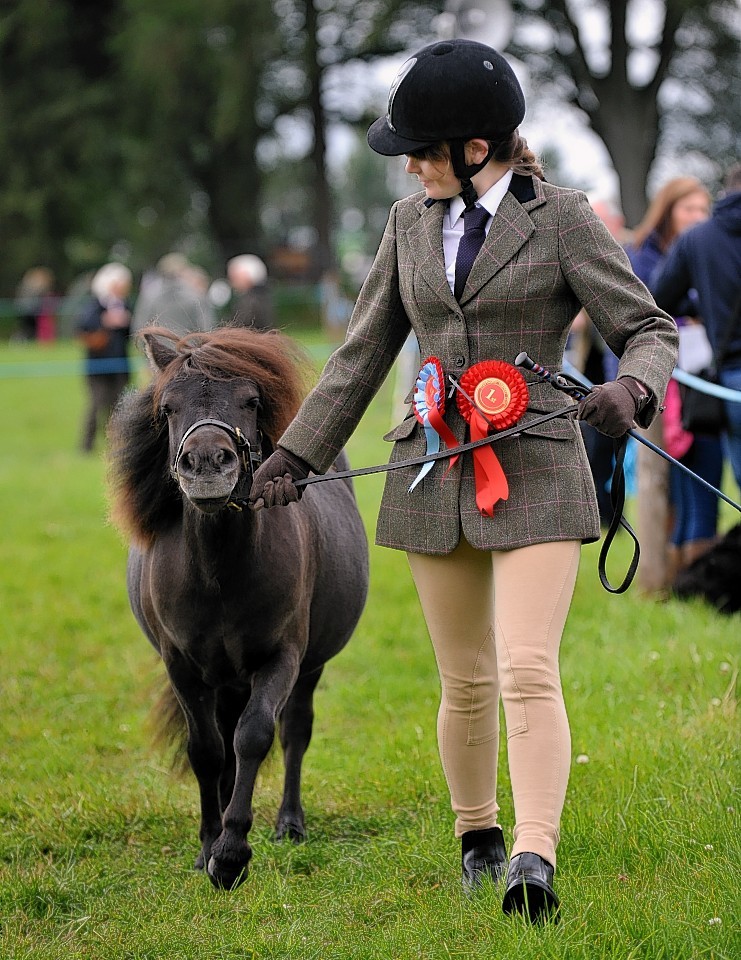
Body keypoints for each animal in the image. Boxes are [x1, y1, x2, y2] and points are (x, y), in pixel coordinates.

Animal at [106, 326, 368, 888]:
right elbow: (206, 750)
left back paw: (288, 823)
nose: (207, 464)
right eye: (167, 407)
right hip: (222, 679)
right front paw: (208, 845)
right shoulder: (182, 666)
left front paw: (231, 852)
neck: (217, 573)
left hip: (306, 667)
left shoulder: (281, 659)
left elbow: (254, 736)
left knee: (293, 731)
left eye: (250, 401)